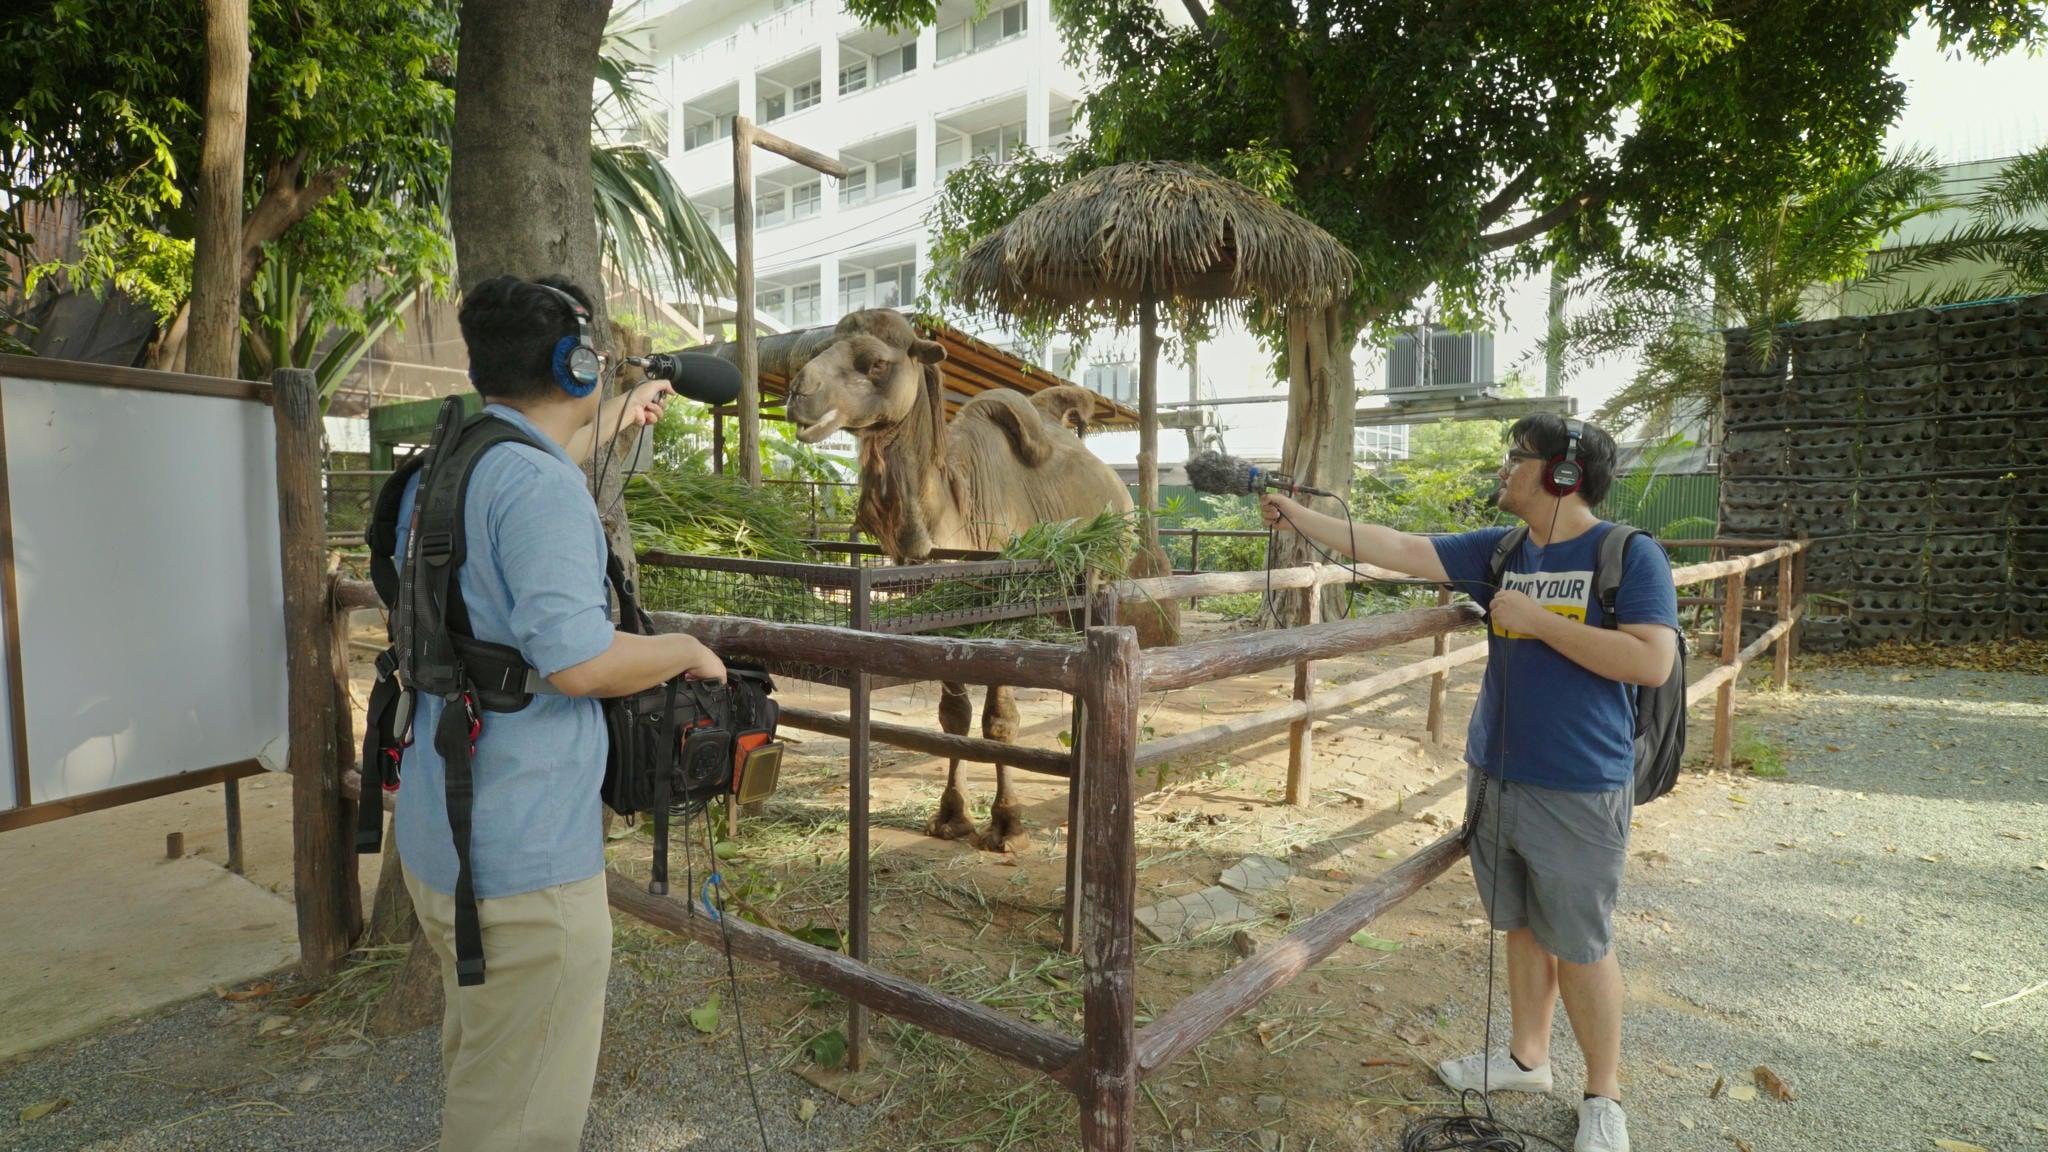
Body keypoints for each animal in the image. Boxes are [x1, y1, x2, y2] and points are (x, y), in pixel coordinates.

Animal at [778, 309, 1171, 848]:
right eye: (815, 351)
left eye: (876, 362)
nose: (799, 392)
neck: (950, 515)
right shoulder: (941, 619)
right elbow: (954, 717)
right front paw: (951, 815)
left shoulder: (1004, 615)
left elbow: (999, 723)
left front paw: (1007, 824)